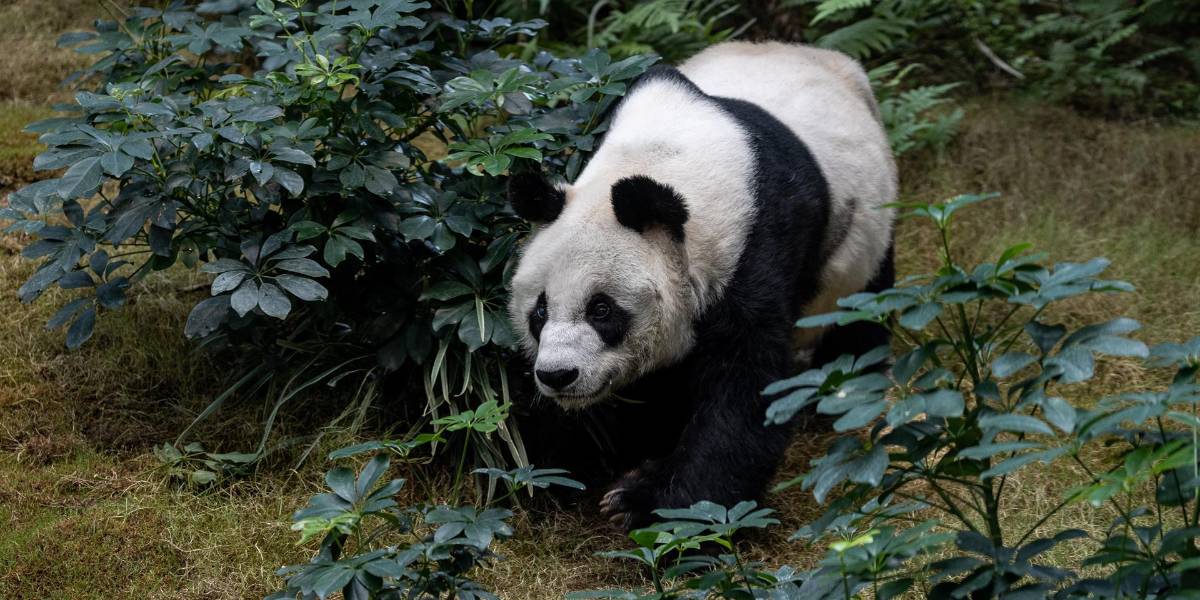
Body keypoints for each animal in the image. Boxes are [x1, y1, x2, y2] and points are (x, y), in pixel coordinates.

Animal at [506, 41, 897, 530]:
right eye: (539, 311)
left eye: (601, 309)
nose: (557, 375)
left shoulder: (756, 248)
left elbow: (745, 386)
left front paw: (650, 503)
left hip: (868, 228)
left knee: (862, 309)